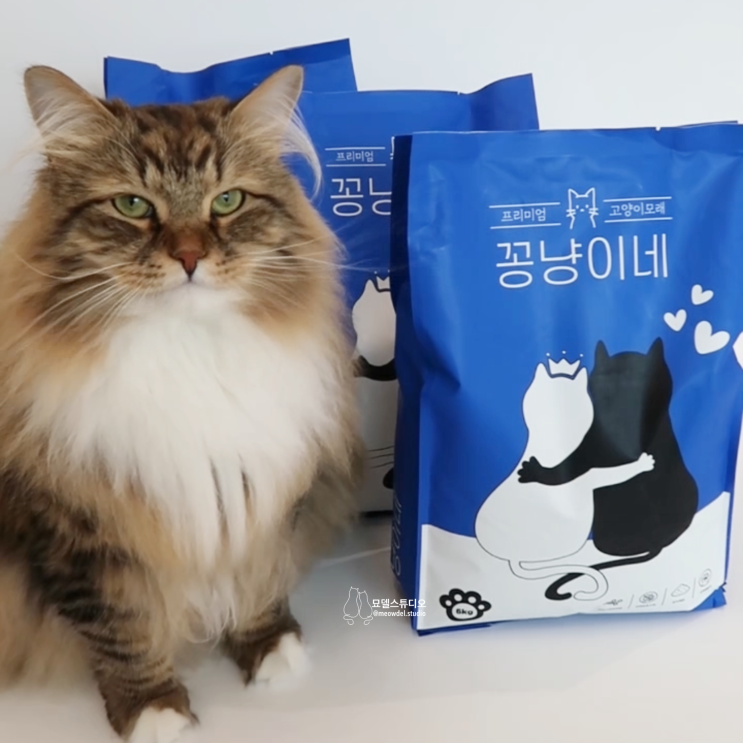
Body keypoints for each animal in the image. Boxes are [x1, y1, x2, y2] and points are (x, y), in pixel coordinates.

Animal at [0, 65, 363, 743]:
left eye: (227, 202)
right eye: (132, 206)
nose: (190, 256)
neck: (187, 350)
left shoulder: (264, 495)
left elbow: (260, 577)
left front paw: (271, 652)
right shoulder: (74, 528)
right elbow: (119, 628)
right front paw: (153, 710)